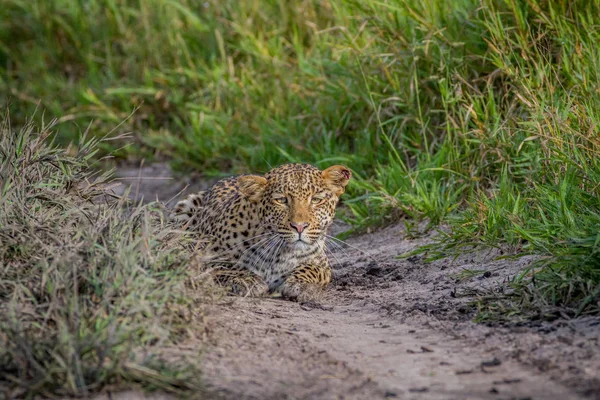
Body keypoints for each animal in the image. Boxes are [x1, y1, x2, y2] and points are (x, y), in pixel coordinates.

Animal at [172, 162, 352, 300]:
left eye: (316, 200)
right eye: (281, 200)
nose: (299, 227)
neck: (280, 253)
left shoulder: (322, 263)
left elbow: (313, 269)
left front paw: (301, 284)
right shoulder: (204, 258)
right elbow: (224, 267)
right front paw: (247, 280)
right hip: (184, 206)